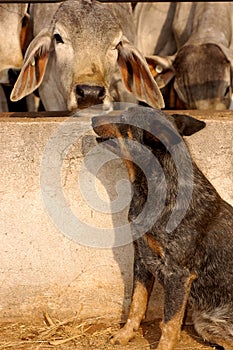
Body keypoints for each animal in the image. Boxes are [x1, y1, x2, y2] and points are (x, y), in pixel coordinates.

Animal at [92, 106, 233, 350]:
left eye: (125, 117)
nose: (91, 117)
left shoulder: (178, 274)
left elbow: (169, 323)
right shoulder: (142, 260)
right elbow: (136, 304)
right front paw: (125, 334)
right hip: (204, 323)